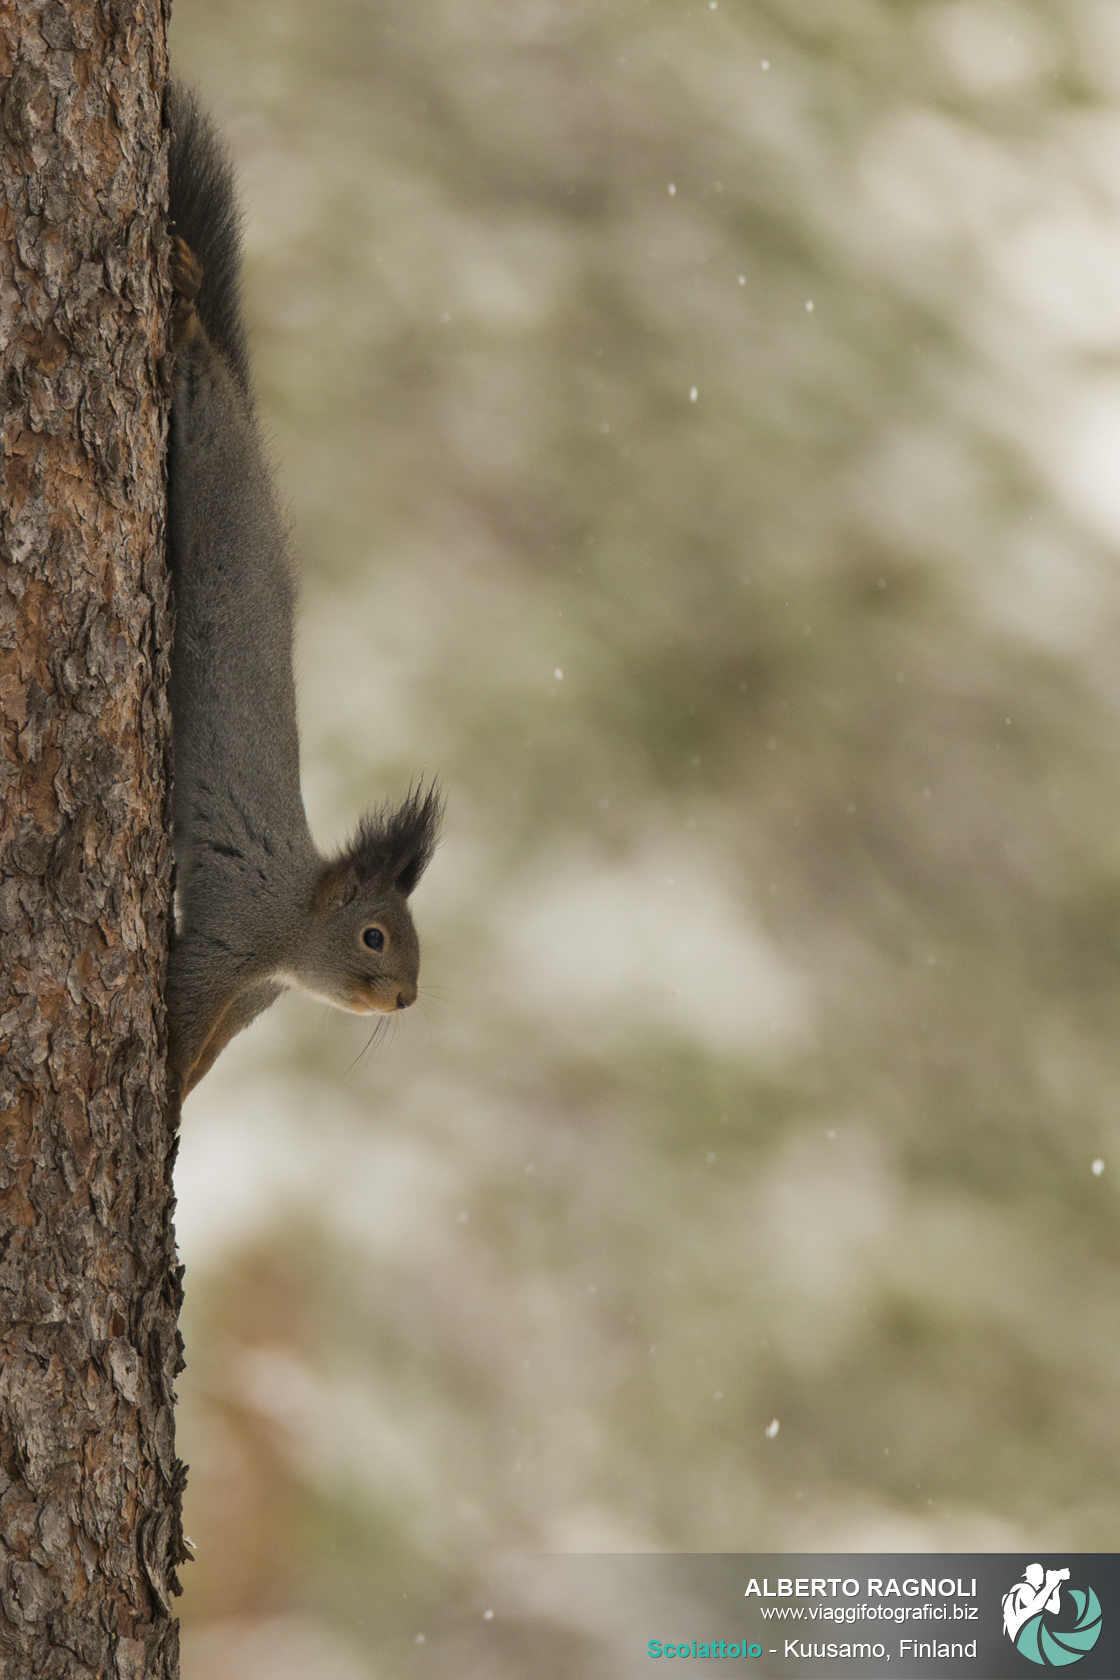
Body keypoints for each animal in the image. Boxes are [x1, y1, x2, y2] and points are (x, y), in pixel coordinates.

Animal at [164, 83, 441, 1099]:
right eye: (375, 937)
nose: (406, 1000)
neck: (293, 933)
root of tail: (246, 421)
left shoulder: (252, 996)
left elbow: (208, 1053)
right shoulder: (228, 939)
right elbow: (179, 1019)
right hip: (202, 462)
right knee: (196, 359)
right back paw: (184, 303)